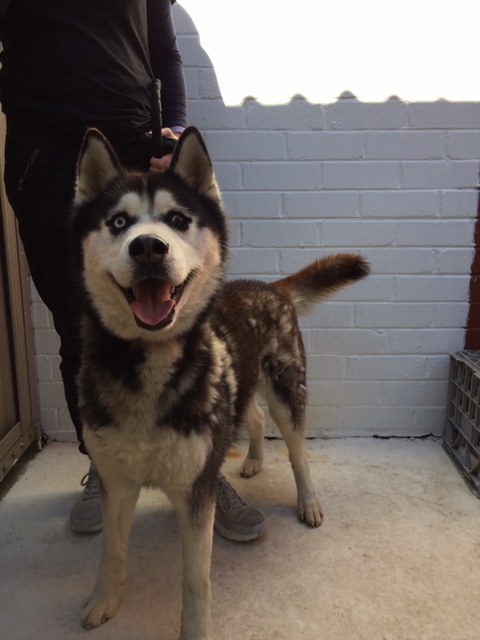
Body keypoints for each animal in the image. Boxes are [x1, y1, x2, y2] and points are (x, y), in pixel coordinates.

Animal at [71, 126, 369, 639]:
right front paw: (104, 600)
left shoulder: (197, 491)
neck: (149, 364)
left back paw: (307, 500)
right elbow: (112, 550)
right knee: (252, 417)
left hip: (287, 392)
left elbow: (196, 580)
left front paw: (195, 630)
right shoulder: (116, 480)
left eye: (177, 219)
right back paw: (251, 460)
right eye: (118, 222)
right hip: (238, 387)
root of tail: (269, 287)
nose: (148, 247)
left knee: (297, 451)